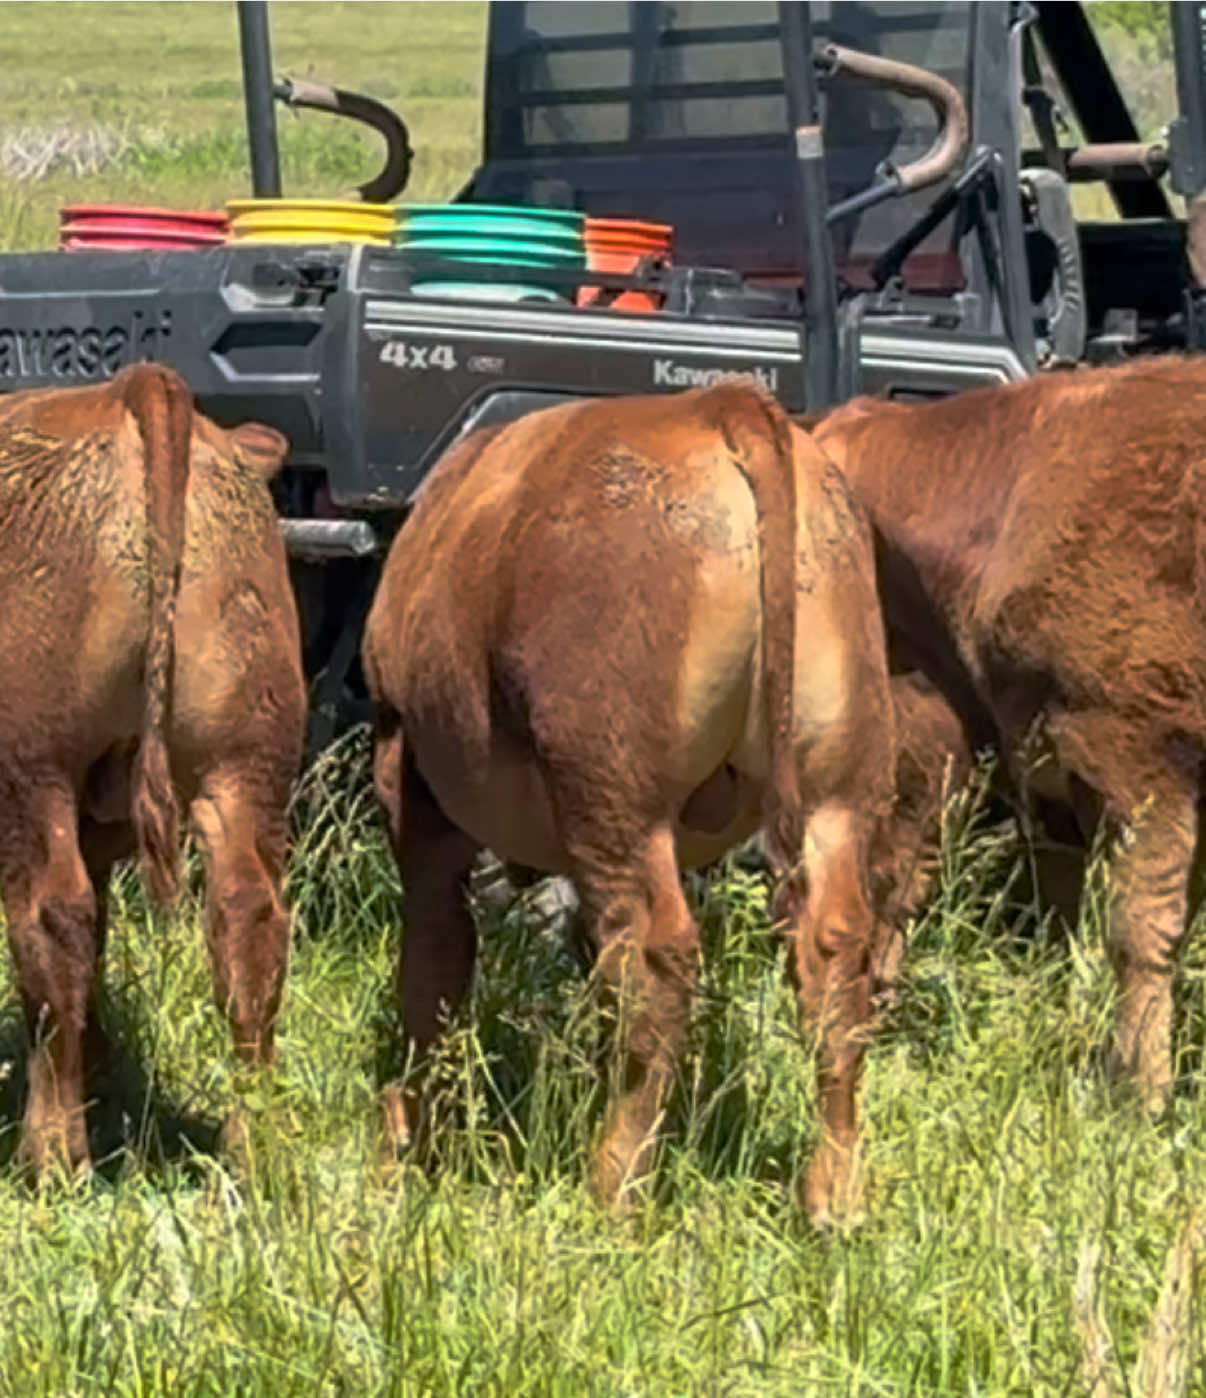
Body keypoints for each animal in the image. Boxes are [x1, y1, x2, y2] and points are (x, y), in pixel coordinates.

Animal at [0, 364, 306, 1178]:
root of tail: (140, 390)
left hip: (31, 769)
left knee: (53, 915)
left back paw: (52, 1153)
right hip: (246, 764)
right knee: (249, 921)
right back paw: (253, 1145)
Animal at [362, 381, 896, 1226]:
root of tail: (723, 407)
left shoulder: (412, 791)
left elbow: (433, 964)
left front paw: (407, 1136)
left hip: (614, 792)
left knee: (653, 959)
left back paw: (614, 1183)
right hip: (836, 784)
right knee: (833, 958)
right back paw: (834, 1196)